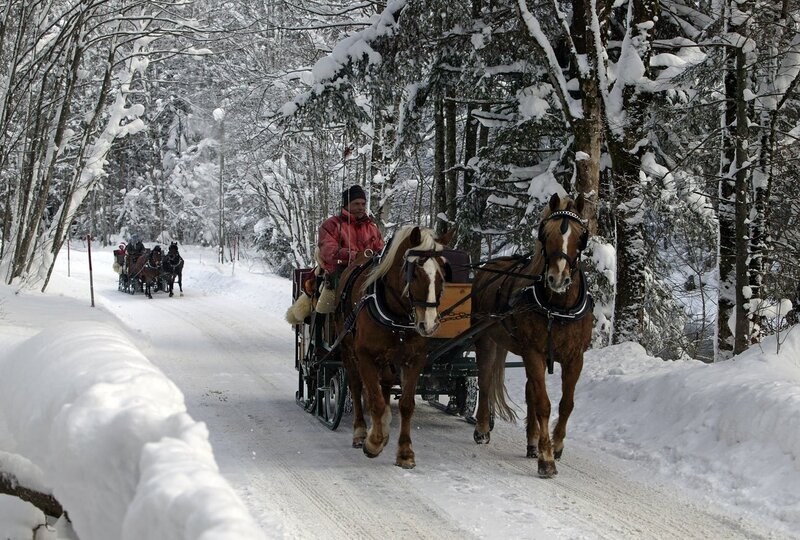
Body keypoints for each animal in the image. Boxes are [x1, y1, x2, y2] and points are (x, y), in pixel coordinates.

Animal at [336, 226, 454, 469]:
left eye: (441, 274)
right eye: (415, 273)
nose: (429, 324)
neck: (396, 315)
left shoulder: (415, 359)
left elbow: (406, 404)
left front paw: (405, 452)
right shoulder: (364, 355)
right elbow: (375, 400)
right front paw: (373, 442)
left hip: (388, 360)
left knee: (386, 385)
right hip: (347, 351)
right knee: (356, 386)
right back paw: (361, 431)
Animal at [471, 193, 593, 478]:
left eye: (581, 236)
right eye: (545, 233)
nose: (557, 279)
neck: (558, 307)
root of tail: (490, 265)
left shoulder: (575, 358)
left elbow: (565, 404)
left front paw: (555, 446)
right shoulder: (534, 353)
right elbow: (544, 404)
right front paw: (546, 460)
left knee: (529, 392)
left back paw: (532, 441)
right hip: (486, 340)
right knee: (485, 380)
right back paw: (482, 429)